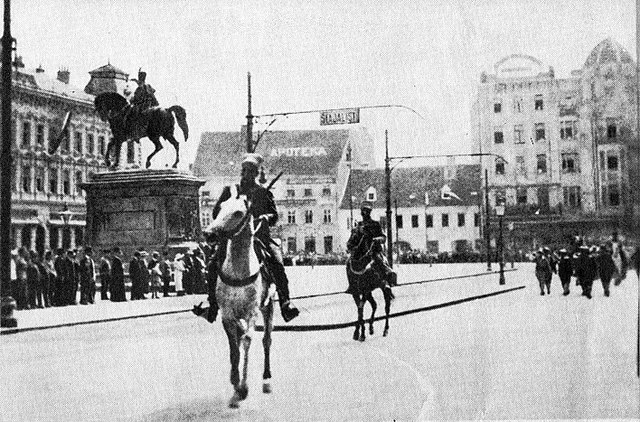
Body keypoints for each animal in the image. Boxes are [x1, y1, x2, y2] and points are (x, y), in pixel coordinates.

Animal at [205, 186, 276, 408]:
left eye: (238, 213)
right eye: (219, 208)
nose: (208, 234)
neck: (238, 270)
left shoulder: (252, 312)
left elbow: (246, 341)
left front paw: (243, 387)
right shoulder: (227, 315)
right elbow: (234, 348)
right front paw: (235, 383)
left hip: (268, 307)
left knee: (266, 340)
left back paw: (267, 379)